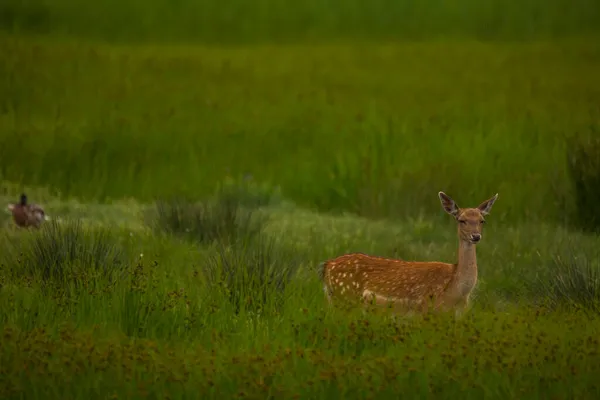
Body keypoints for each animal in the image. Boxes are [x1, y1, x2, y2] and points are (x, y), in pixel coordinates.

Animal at [316, 191, 500, 316]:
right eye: (461, 220)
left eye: (482, 221)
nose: (475, 236)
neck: (457, 292)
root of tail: (328, 266)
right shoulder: (426, 308)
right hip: (345, 297)